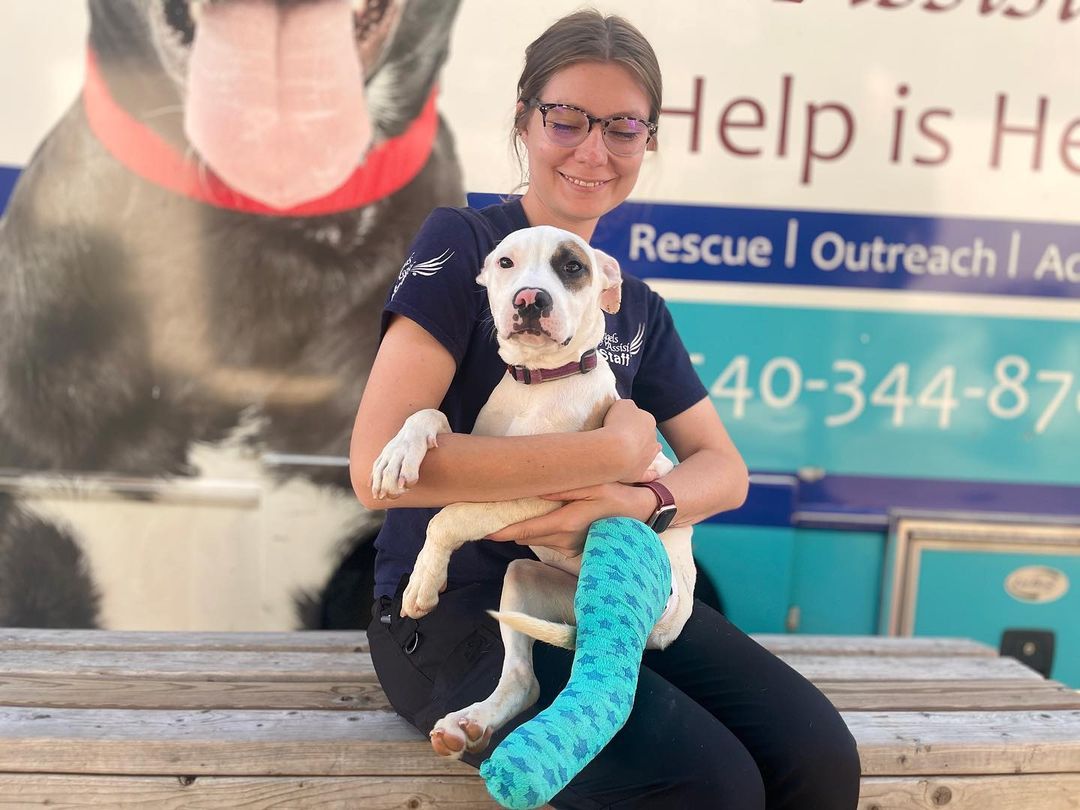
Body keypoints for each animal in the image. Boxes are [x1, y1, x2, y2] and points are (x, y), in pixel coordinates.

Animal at [369, 225, 691, 760]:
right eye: (506, 263)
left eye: (573, 266)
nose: (529, 299)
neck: (537, 384)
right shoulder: (477, 454)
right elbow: (430, 415)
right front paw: (399, 450)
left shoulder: (551, 496)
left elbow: (449, 515)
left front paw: (422, 583)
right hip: (522, 579)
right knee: (524, 679)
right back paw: (470, 722)